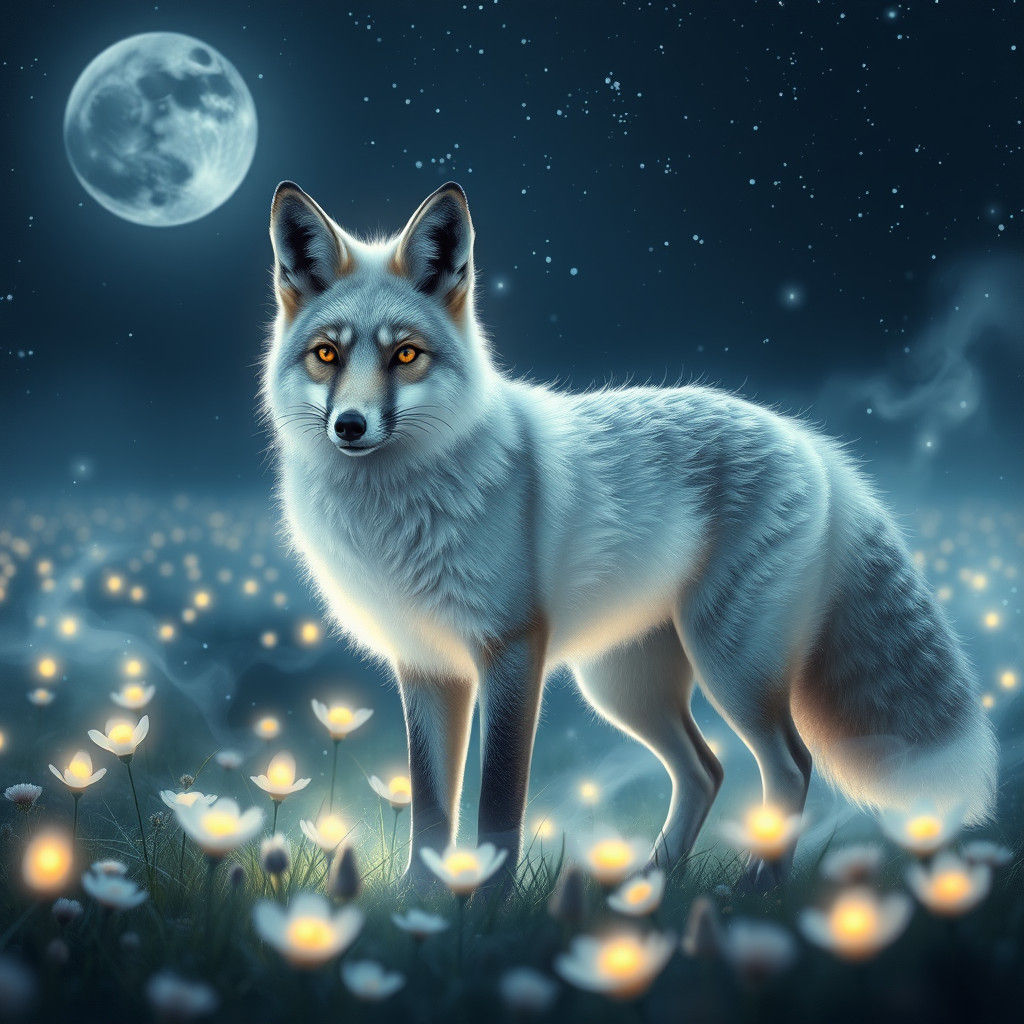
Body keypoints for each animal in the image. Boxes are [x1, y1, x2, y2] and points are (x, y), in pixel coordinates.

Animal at [261, 179, 998, 889]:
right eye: (327, 354)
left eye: (406, 355)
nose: (350, 426)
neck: (396, 516)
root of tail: (809, 440)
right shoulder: (426, 665)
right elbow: (430, 806)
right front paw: (423, 900)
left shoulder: (511, 650)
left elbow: (498, 803)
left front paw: (486, 904)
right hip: (623, 686)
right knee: (706, 770)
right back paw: (649, 884)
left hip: (730, 667)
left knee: (791, 764)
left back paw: (757, 888)